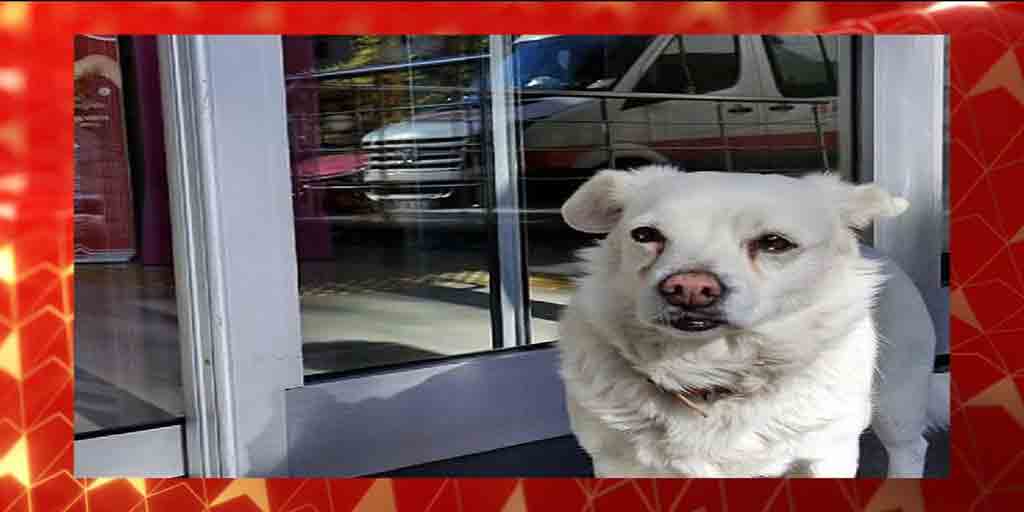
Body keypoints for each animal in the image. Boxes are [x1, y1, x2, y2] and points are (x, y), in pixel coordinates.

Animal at [557, 165, 946, 477]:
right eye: (645, 235)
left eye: (775, 243)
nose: (689, 288)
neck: (712, 373)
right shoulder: (615, 463)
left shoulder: (829, 454)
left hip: (897, 401)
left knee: (910, 450)